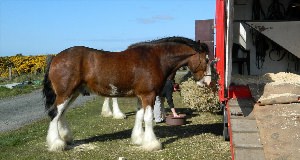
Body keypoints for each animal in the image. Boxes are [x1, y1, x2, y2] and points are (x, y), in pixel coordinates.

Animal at [42, 36, 211, 151]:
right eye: (207, 60)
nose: (207, 82)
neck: (156, 58)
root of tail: (56, 57)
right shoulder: (148, 95)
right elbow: (148, 118)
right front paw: (152, 144)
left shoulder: (141, 96)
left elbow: (139, 116)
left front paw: (138, 139)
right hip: (65, 94)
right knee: (55, 113)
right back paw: (56, 143)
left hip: (73, 94)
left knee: (61, 114)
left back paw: (66, 139)